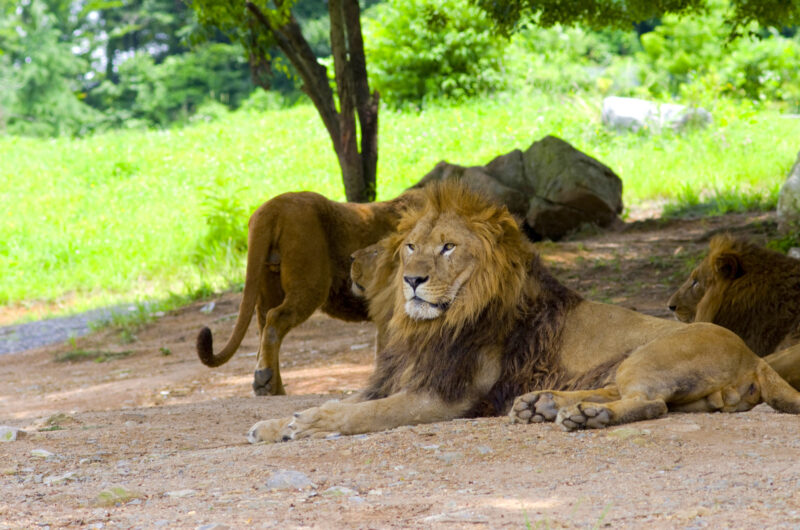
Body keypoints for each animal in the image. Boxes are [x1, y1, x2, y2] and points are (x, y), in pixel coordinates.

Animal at [195, 189, 418, 392]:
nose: (353, 258)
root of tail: (272, 207)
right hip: (310, 286)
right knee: (275, 320)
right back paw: (266, 381)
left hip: (268, 289)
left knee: (264, 329)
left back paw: (270, 387)